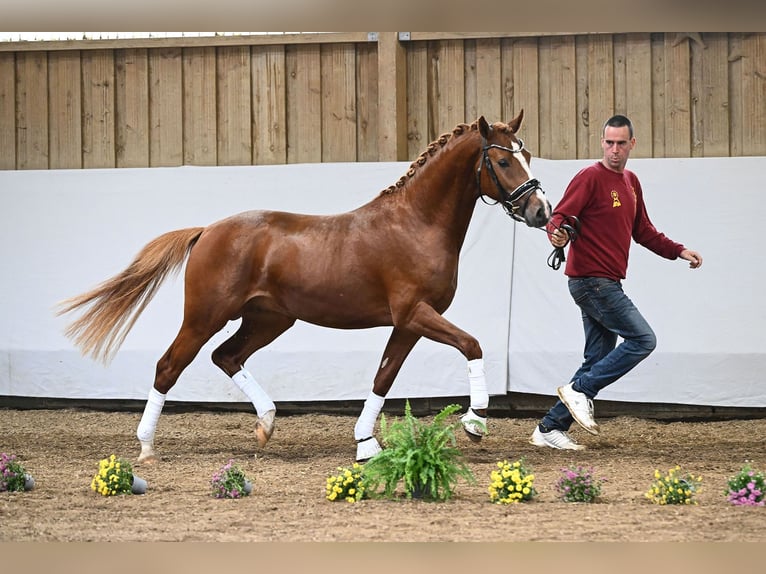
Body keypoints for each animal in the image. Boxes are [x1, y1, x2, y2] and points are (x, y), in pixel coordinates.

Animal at [60, 112, 552, 464]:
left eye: (528, 156)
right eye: (503, 161)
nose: (541, 211)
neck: (416, 223)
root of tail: (207, 231)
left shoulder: (408, 323)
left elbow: (384, 376)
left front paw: (365, 444)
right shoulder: (416, 313)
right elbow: (471, 344)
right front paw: (475, 421)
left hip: (269, 319)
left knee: (227, 356)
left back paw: (266, 424)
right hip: (205, 316)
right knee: (169, 366)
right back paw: (146, 446)